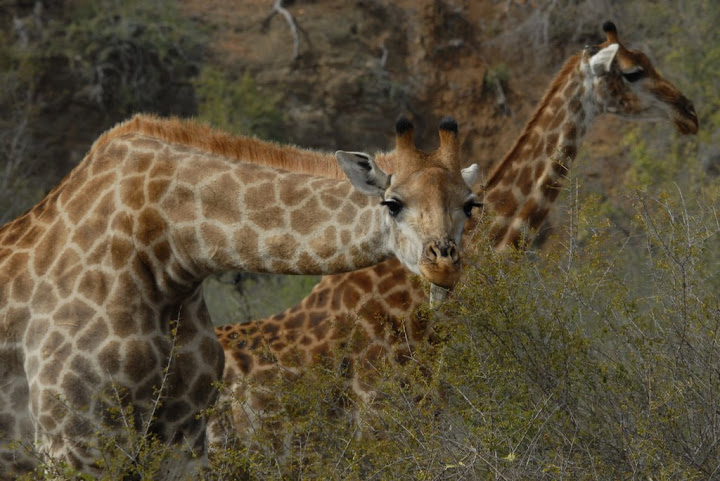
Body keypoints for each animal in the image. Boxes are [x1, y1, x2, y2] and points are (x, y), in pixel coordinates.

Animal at [0, 113, 481, 478]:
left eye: (471, 204)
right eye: (392, 203)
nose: (443, 266)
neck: (166, 251)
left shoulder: (182, 437)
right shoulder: (74, 440)